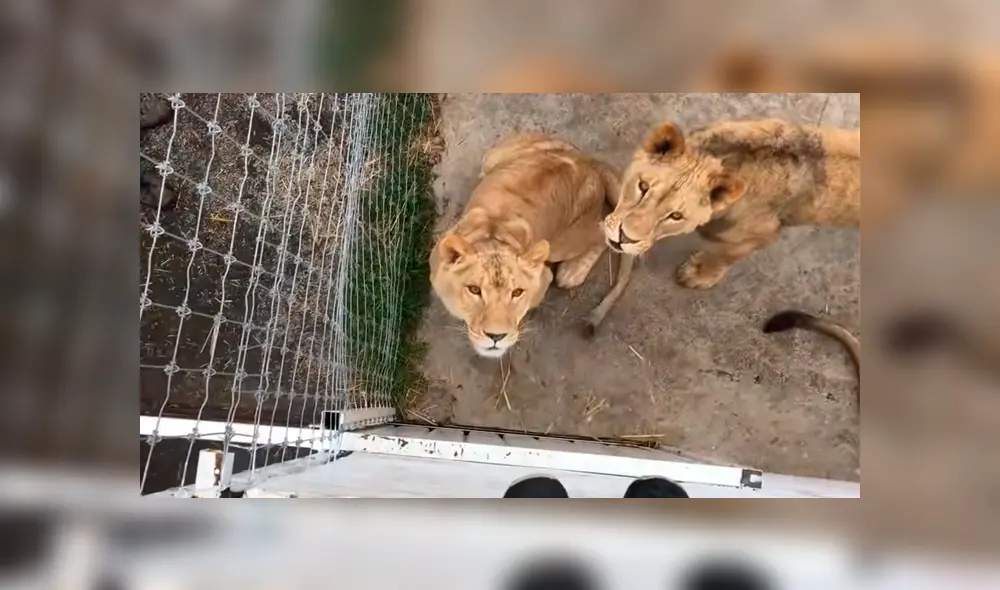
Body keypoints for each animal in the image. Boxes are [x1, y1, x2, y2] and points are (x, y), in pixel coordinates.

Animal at [430, 134, 635, 358]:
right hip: (493, 157)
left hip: (565, 243)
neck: (494, 234)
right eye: (475, 290)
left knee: (603, 232)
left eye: (517, 292)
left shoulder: (544, 276)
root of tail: (589, 161)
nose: (496, 336)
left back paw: (572, 272)